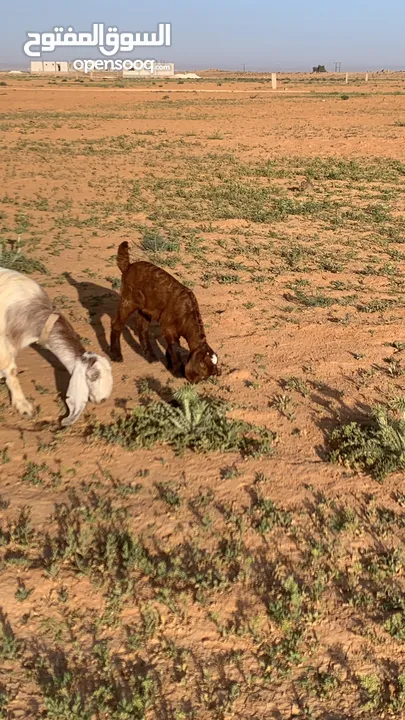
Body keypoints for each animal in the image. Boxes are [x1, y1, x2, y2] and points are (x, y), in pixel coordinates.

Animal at [109, 242, 219, 386]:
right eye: (202, 375)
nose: (194, 383)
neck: (188, 314)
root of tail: (128, 266)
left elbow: (171, 346)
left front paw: (169, 363)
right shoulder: (169, 327)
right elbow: (175, 347)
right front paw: (177, 371)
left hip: (146, 308)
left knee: (141, 327)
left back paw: (150, 356)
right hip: (128, 300)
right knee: (117, 323)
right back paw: (116, 355)